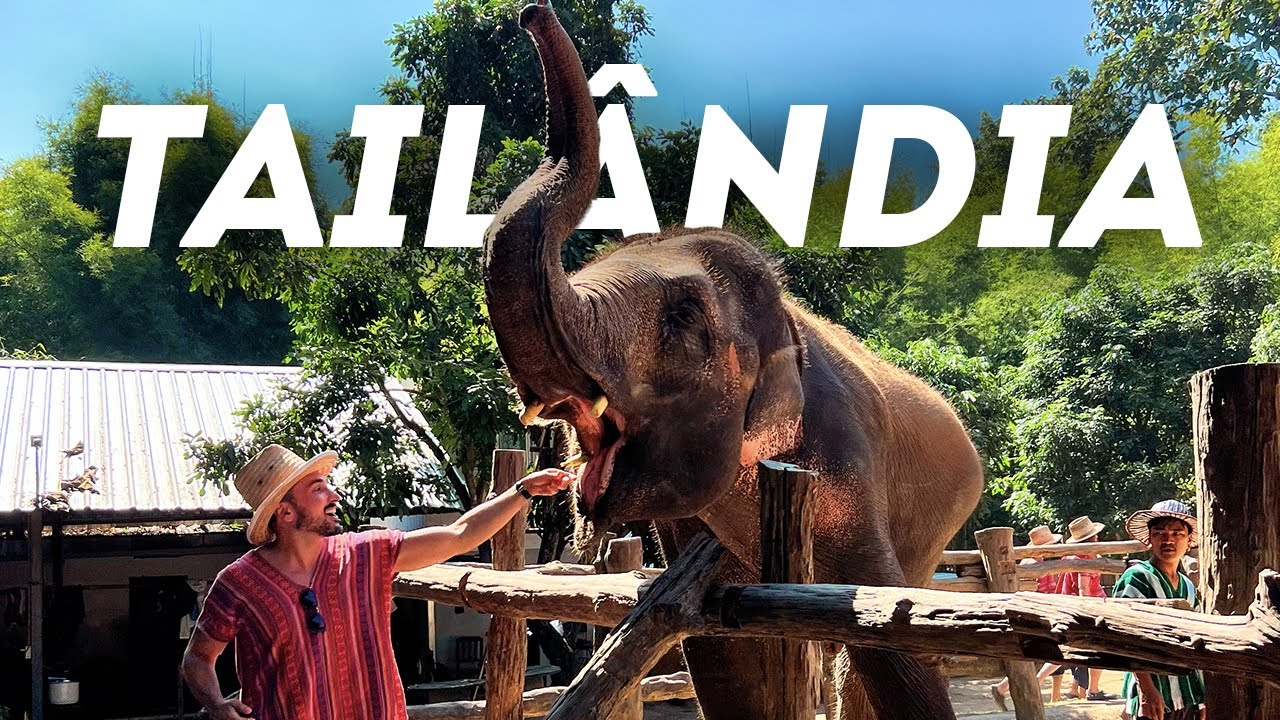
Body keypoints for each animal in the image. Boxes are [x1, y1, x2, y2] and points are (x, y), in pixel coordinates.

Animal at [482, 4, 985, 719]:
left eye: (684, 317)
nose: (532, 13)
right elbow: (716, 655)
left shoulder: (844, 456)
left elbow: (888, 628)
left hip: (938, 523)